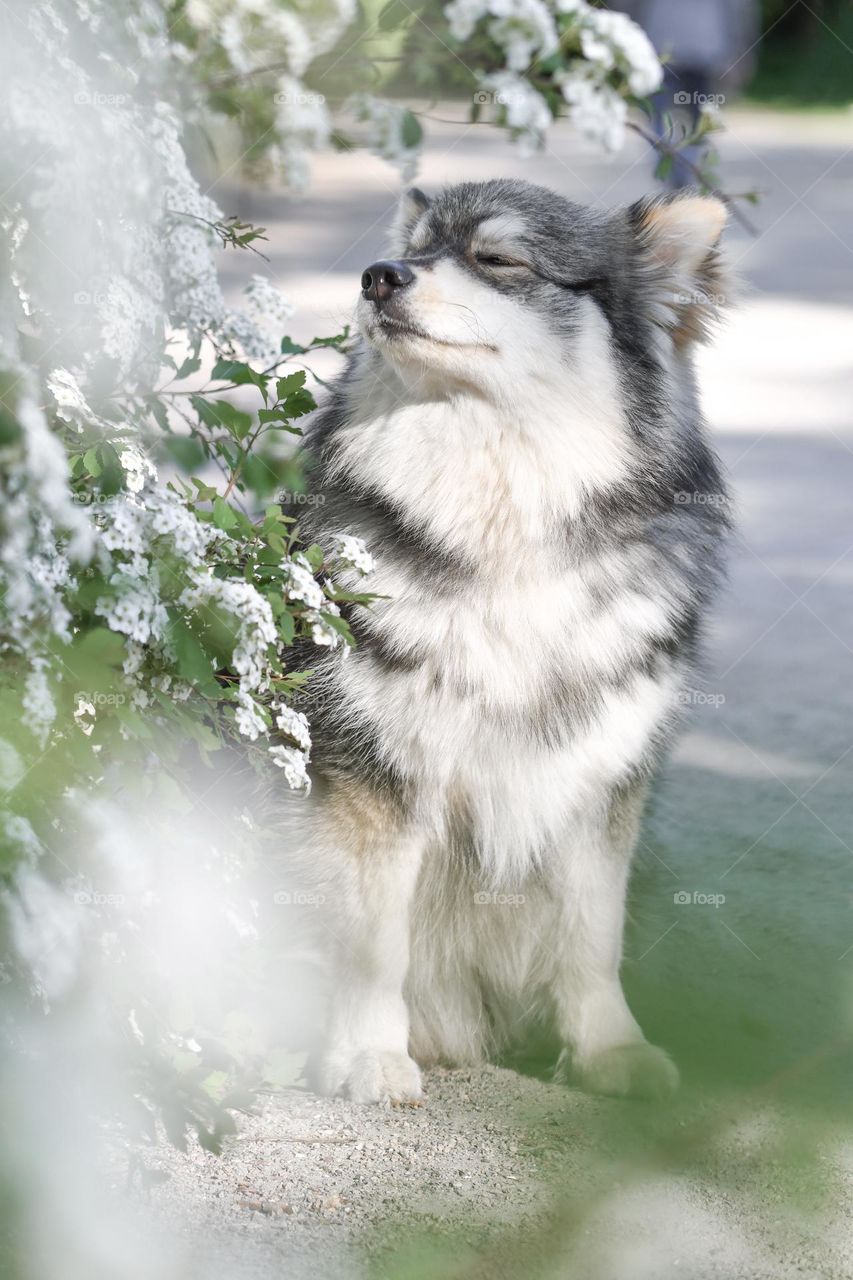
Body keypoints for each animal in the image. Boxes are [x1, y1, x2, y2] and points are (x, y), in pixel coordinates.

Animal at [281, 177, 727, 1100]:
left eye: (496, 259)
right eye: (414, 248)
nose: (379, 276)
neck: (501, 528)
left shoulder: (600, 782)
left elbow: (592, 934)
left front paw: (607, 1050)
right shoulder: (374, 781)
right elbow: (372, 942)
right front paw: (369, 1055)